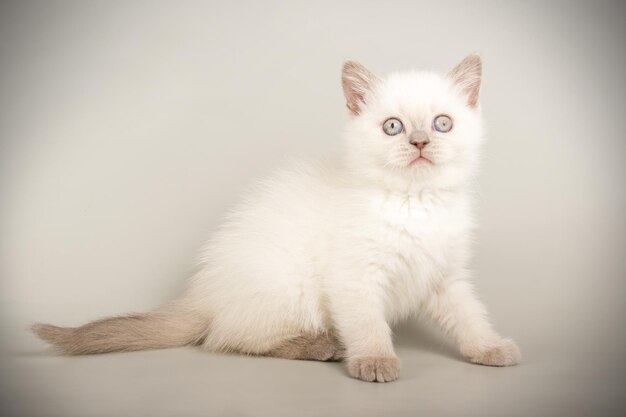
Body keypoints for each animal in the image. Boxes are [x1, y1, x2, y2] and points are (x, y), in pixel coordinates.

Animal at [33, 55, 516, 384]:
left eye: (442, 124)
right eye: (393, 127)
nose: (419, 142)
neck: (415, 200)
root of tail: (204, 295)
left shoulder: (446, 276)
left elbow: (470, 317)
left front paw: (490, 348)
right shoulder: (356, 278)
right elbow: (368, 324)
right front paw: (375, 360)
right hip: (287, 287)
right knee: (228, 338)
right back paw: (321, 345)